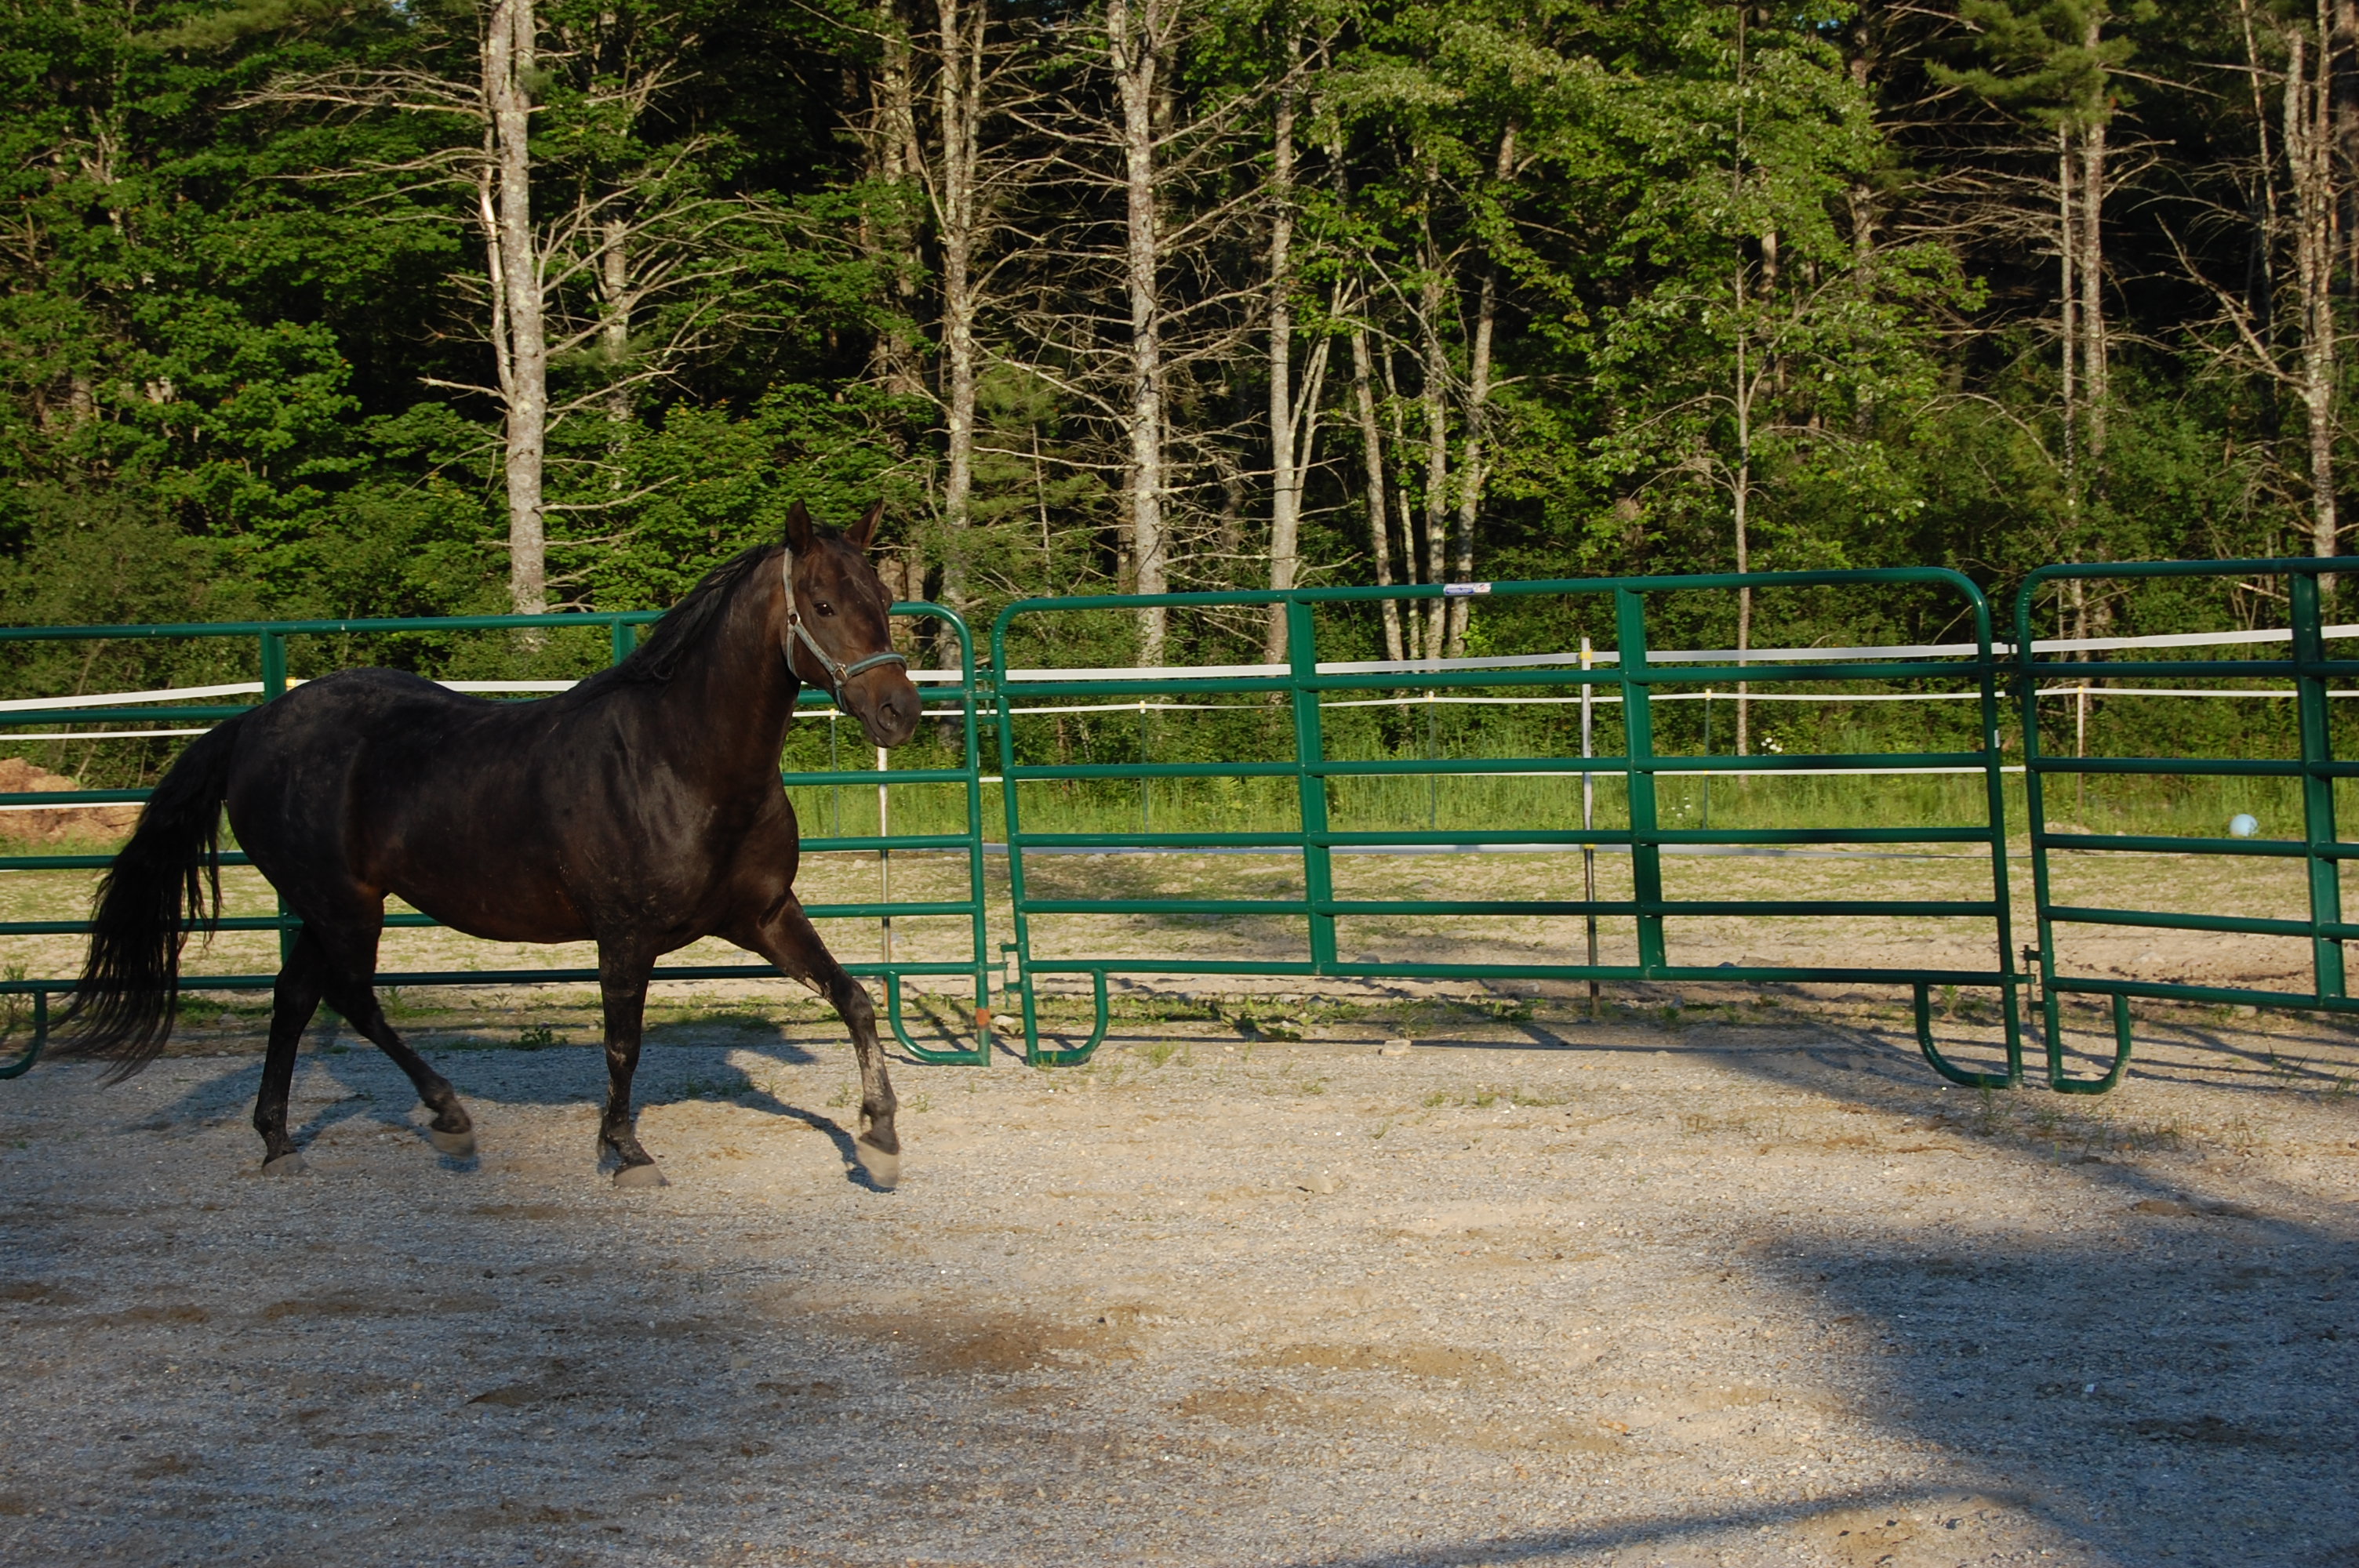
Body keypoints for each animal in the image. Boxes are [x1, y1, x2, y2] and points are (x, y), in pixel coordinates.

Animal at [55, 502, 920, 1188]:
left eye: (882, 598)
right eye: (821, 602)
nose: (899, 712)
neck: (681, 760)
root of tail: (253, 725)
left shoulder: (763, 914)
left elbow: (853, 997)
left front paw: (879, 1140)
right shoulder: (626, 935)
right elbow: (623, 1044)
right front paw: (626, 1154)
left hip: (325, 908)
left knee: (295, 998)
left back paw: (279, 1142)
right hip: (345, 906)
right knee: (351, 999)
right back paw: (448, 1117)